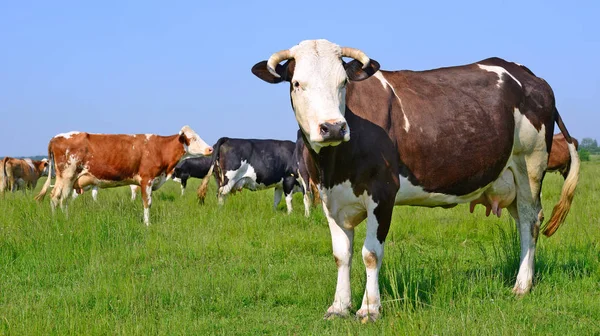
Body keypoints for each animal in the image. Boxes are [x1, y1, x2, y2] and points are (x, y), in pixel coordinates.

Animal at [34, 124, 213, 224]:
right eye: (194, 139)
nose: (210, 149)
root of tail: (56, 137)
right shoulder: (147, 179)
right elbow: (147, 203)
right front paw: (147, 225)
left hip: (65, 179)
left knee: (56, 197)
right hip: (67, 176)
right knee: (60, 198)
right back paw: (63, 220)